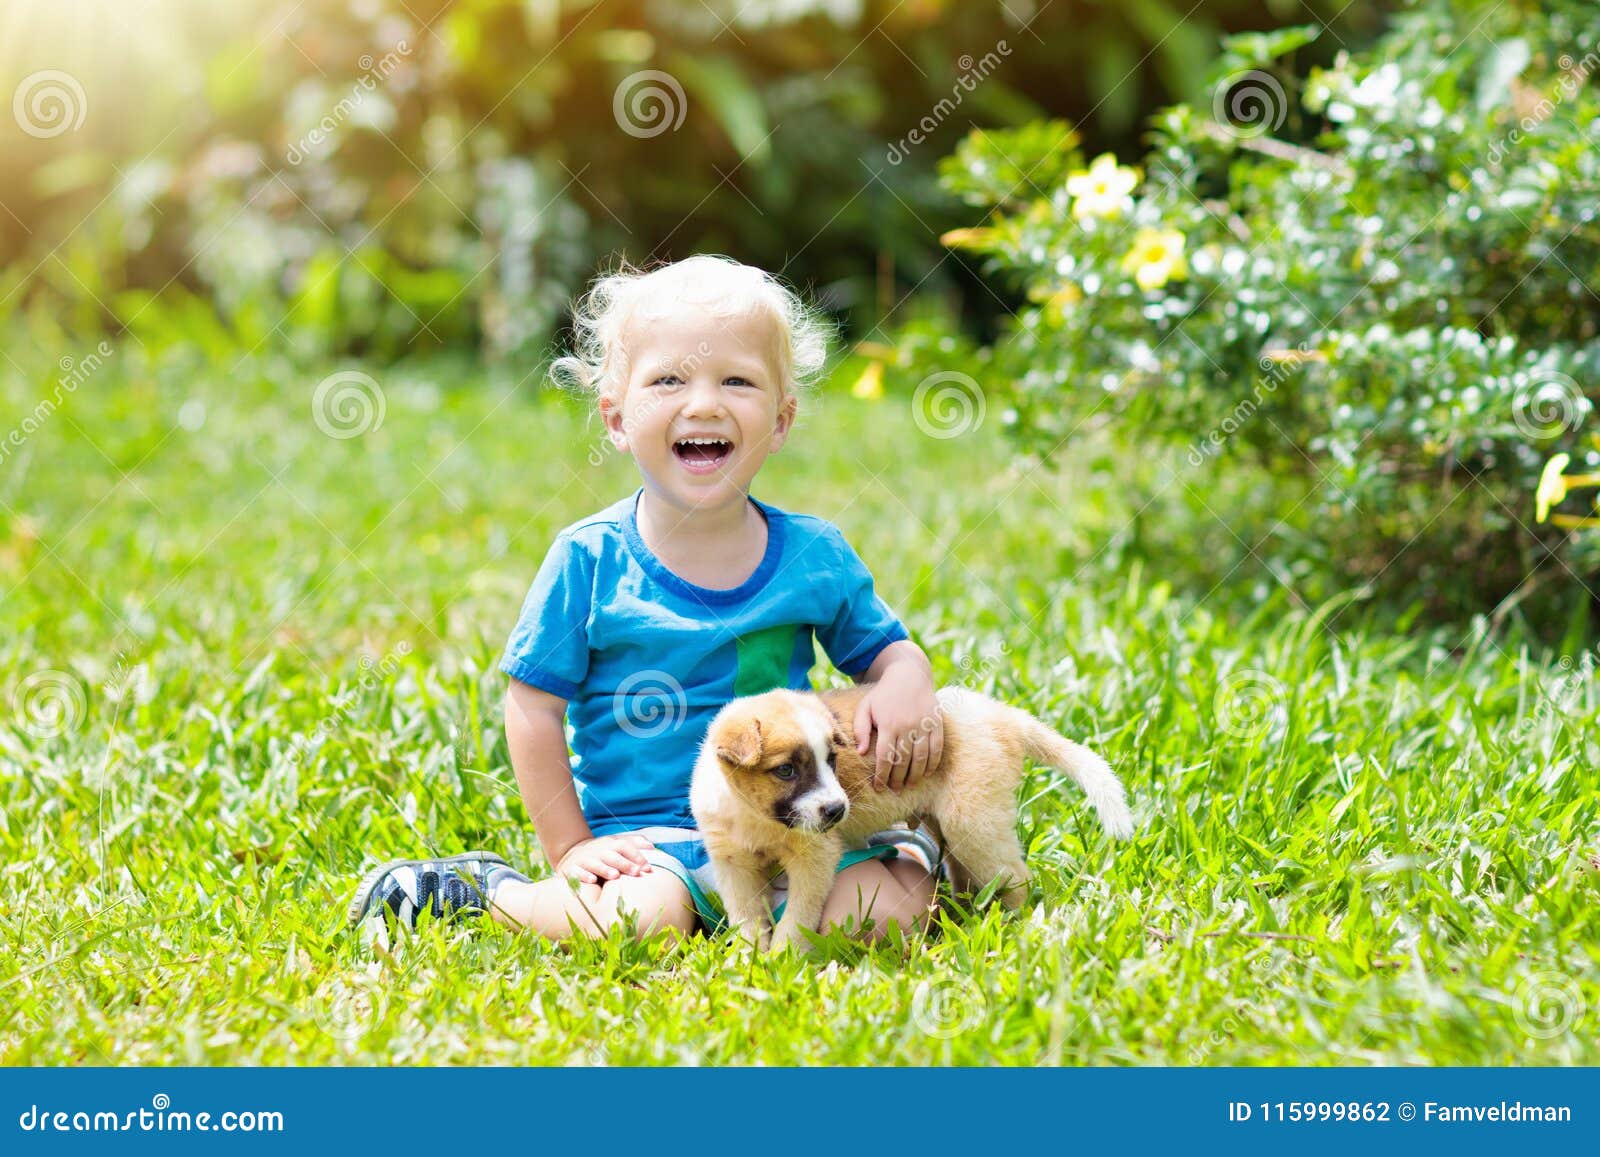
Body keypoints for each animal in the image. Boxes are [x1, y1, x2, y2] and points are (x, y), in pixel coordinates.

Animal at [694, 688, 1132, 947]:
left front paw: (782, 962)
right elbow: (747, 919)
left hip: (973, 821)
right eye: (785, 770)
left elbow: (796, 918)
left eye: (832, 760)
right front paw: (750, 962)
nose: (838, 810)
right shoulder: (732, 864)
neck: (756, 816)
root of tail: (1002, 716)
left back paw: (1013, 925)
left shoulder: (814, 858)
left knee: (1017, 879)